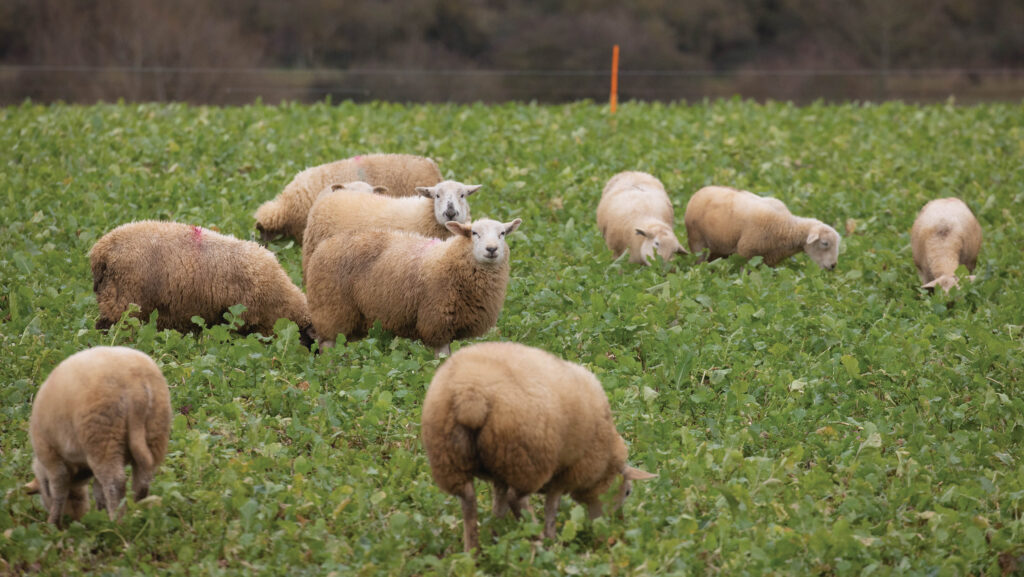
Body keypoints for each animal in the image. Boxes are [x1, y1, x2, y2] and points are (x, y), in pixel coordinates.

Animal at [25, 346, 171, 527]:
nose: (76, 518)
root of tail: (135, 387)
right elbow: (97, 488)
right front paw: (100, 513)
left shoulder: (50, 456)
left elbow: (59, 490)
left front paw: (53, 524)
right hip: (156, 428)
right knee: (143, 481)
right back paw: (138, 514)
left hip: (102, 436)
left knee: (116, 483)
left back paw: (117, 523)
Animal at [306, 218, 521, 357]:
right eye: (474, 233)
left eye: (502, 234)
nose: (492, 249)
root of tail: (325, 244)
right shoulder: (436, 322)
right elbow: (441, 358)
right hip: (332, 308)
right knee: (327, 345)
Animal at [421, 341, 656, 552]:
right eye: (627, 492)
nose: (617, 525)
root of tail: (471, 395)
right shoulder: (567, 471)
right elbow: (551, 507)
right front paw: (551, 536)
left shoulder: (501, 472)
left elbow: (499, 505)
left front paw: (495, 533)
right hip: (528, 458)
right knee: (516, 499)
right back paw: (539, 540)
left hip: (452, 457)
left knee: (469, 500)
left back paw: (474, 551)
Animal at [684, 185, 841, 269]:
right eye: (825, 243)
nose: (833, 265)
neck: (786, 227)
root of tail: (701, 190)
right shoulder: (746, 254)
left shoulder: (769, 260)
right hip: (697, 241)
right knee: (699, 260)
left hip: (718, 246)